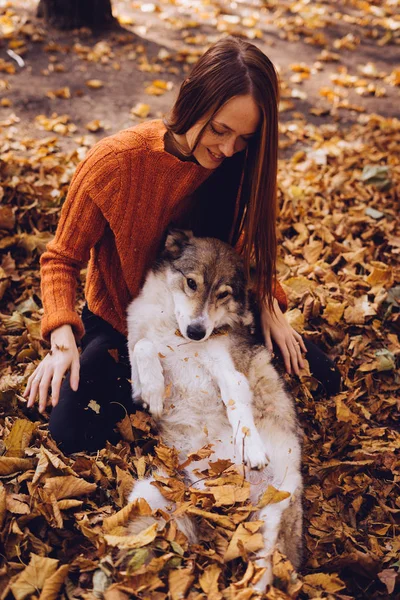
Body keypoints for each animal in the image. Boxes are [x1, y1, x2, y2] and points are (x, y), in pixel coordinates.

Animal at [126, 231, 302, 592]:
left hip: (273, 518)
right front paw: (154, 390)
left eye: (223, 294)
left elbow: (238, 408)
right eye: (191, 283)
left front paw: (252, 449)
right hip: (146, 497)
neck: (177, 335)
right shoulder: (136, 369)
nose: (197, 331)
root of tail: (226, 507)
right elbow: (143, 347)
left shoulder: (229, 371)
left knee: (263, 573)